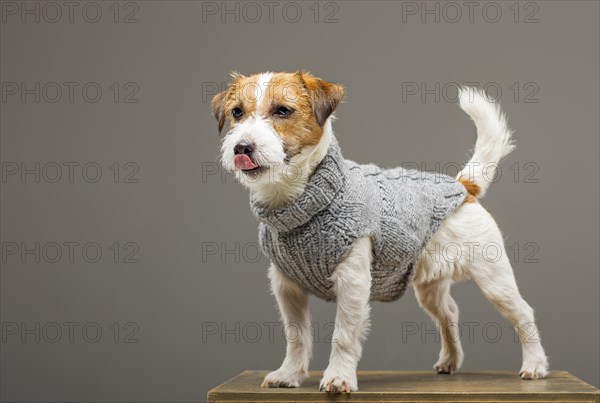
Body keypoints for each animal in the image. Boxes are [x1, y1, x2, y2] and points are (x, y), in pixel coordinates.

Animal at [211, 71, 548, 392]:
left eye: (282, 110)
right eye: (237, 112)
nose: (242, 147)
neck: (301, 200)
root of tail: (463, 187)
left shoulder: (353, 283)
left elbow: (344, 335)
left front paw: (338, 378)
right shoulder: (287, 288)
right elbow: (296, 335)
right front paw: (290, 374)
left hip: (494, 279)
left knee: (523, 313)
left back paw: (535, 364)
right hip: (430, 288)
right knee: (449, 312)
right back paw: (450, 360)